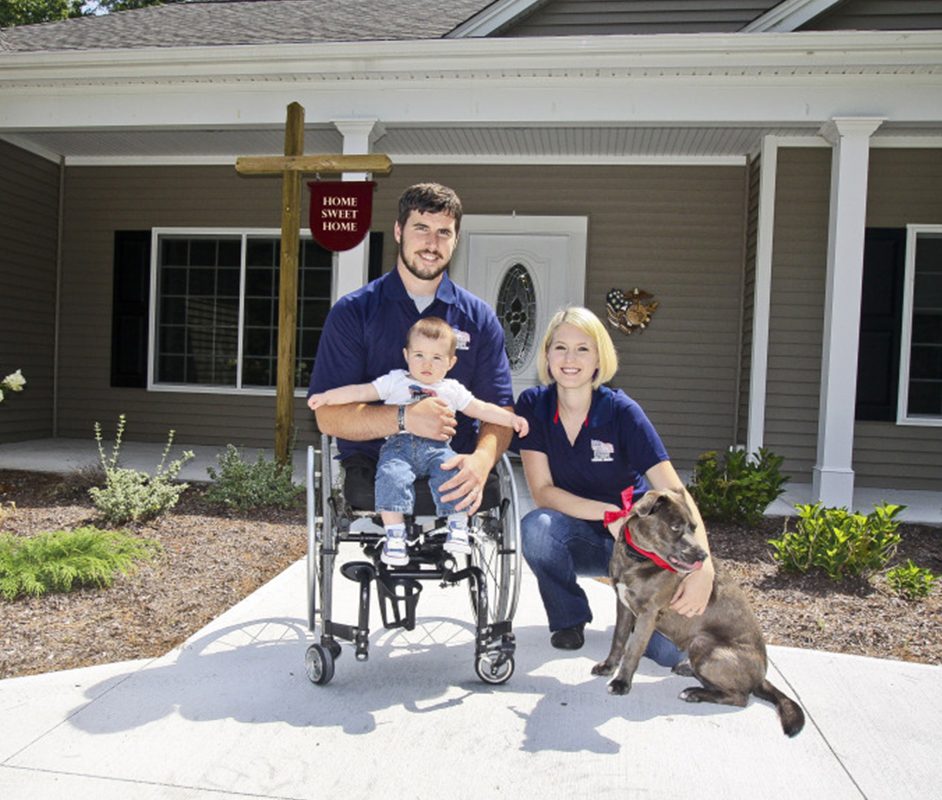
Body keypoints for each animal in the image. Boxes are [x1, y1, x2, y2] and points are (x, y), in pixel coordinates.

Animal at [592, 488, 804, 736]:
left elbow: (633, 650)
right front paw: (608, 667)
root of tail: (761, 677)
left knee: (740, 698)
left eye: (694, 527)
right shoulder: (624, 605)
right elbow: (618, 640)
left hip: (703, 644)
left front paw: (621, 683)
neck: (638, 560)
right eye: (675, 527)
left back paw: (694, 692)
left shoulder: (647, 614)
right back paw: (687, 669)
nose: (703, 556)